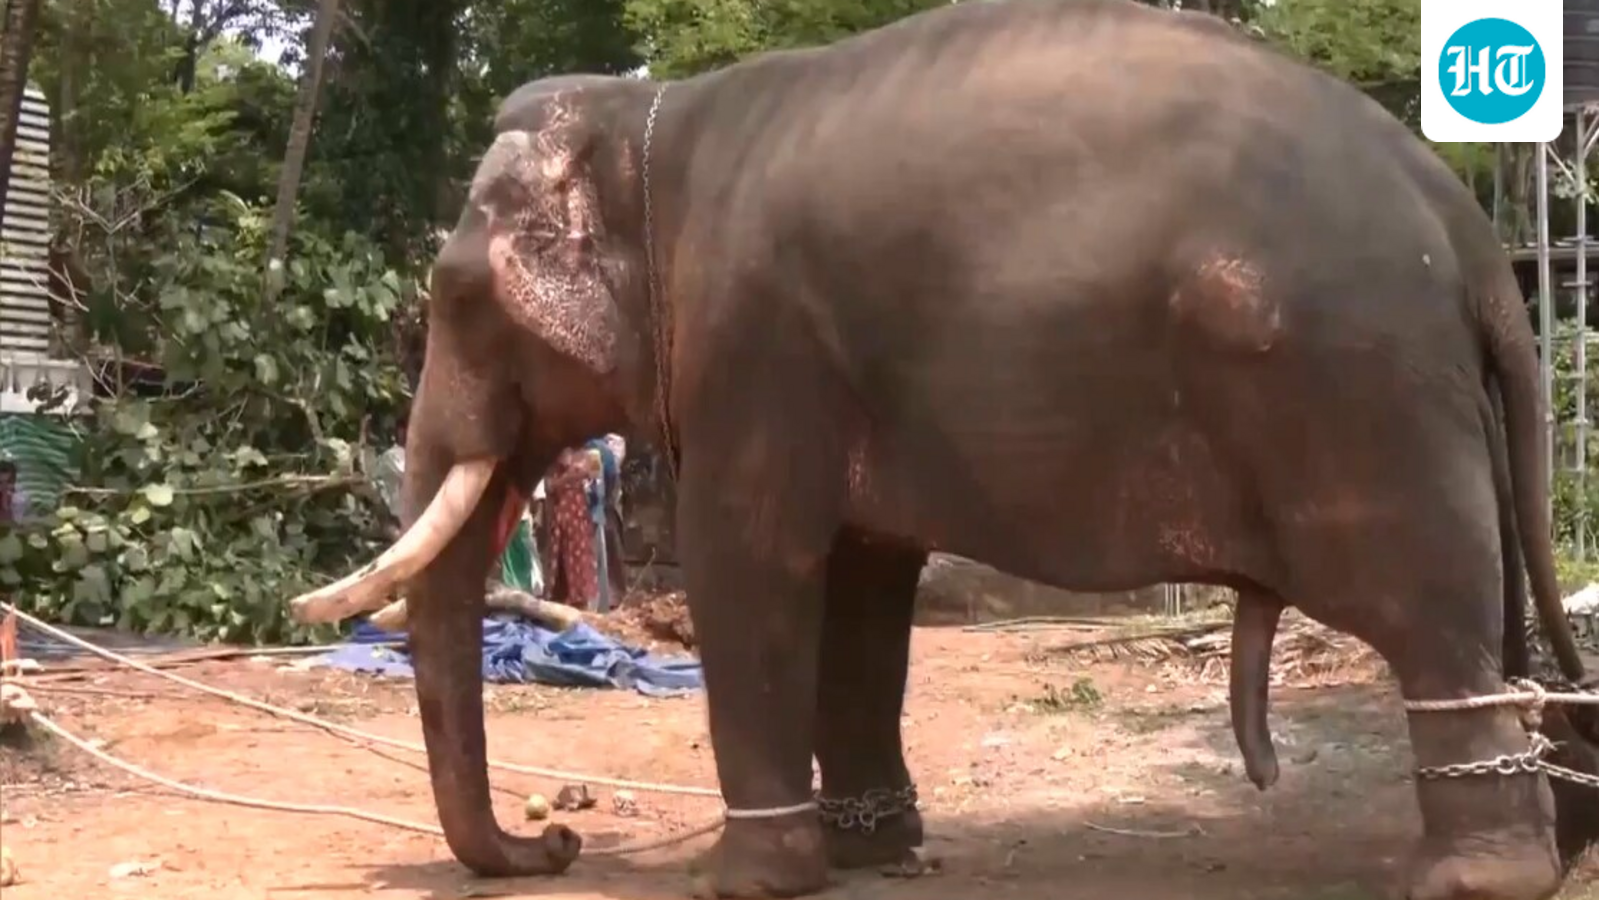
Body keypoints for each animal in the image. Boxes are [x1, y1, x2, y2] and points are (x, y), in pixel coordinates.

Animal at [286, 0, 1599, 898]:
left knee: (1428, 613)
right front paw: (875, 849)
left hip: (1360, 401)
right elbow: (865, 582)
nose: (557, 840)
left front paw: (749, 880)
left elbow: (750, 566)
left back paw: (1473, 877)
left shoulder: (754, 348)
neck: (653, 126)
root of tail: (1463, 223)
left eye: (458, 299)